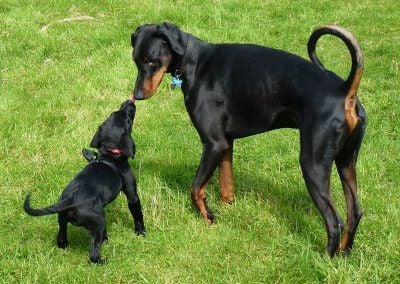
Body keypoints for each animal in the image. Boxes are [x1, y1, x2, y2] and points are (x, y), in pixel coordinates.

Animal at [23, 98, 145, 262]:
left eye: (114, 112)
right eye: (127, 119)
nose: (128, 102)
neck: (109, 155)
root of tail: (70, 200)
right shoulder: (132, 194)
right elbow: (137, 214)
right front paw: (141, 232)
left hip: (62, 220)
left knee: (61, 240)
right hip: (98, 221)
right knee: (93, 253)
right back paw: (103, 260)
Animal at [130, 23, 366, 256]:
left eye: (152, 60)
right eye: (135, 60)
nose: (138, 96)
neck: (195, 62)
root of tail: (343, 90)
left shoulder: (213, 144)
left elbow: (195, 189)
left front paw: (209, 217)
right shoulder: (225, 144)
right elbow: (226, 187)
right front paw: (229, 211)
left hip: (313, 165)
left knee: (334, 222)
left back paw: (325, 258)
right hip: (346, 161)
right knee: (354, 213)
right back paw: (344, 254)